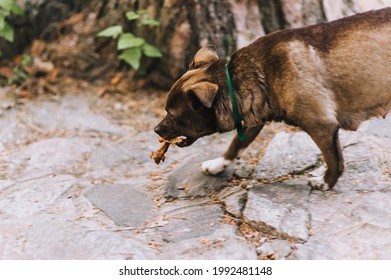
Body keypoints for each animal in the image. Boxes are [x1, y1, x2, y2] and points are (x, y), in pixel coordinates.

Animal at [155, 7, 391, 190]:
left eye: (173, 115)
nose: (156, 130)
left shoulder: (322, 128)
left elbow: (335, 161)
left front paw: (325, 182)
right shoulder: (252, 118)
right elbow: (236, 145)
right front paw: (218, 164)